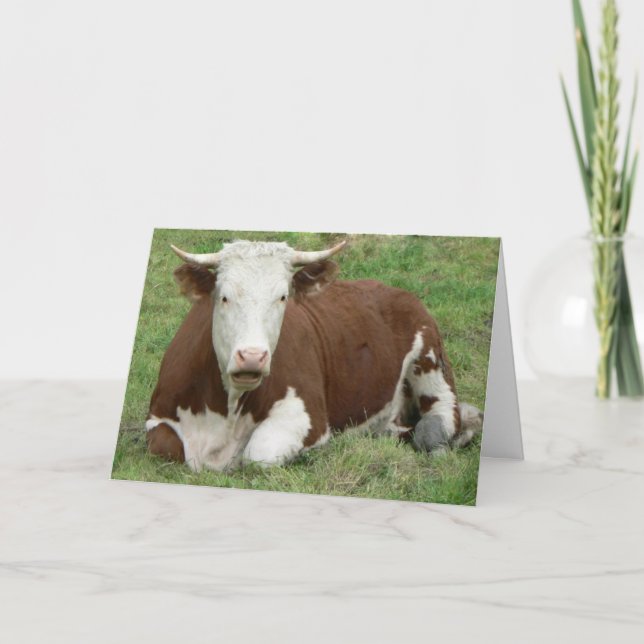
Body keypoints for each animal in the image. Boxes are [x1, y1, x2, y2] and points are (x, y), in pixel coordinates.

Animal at [145, 239, 483, 472]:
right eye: (224, 297)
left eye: (283, 297)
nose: (252, 356)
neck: (225, 409)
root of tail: (394, 290)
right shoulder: (158, 416)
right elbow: (166, 445)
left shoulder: (308, 416)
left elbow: (259, 454)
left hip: (432, 361)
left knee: (442, 418)